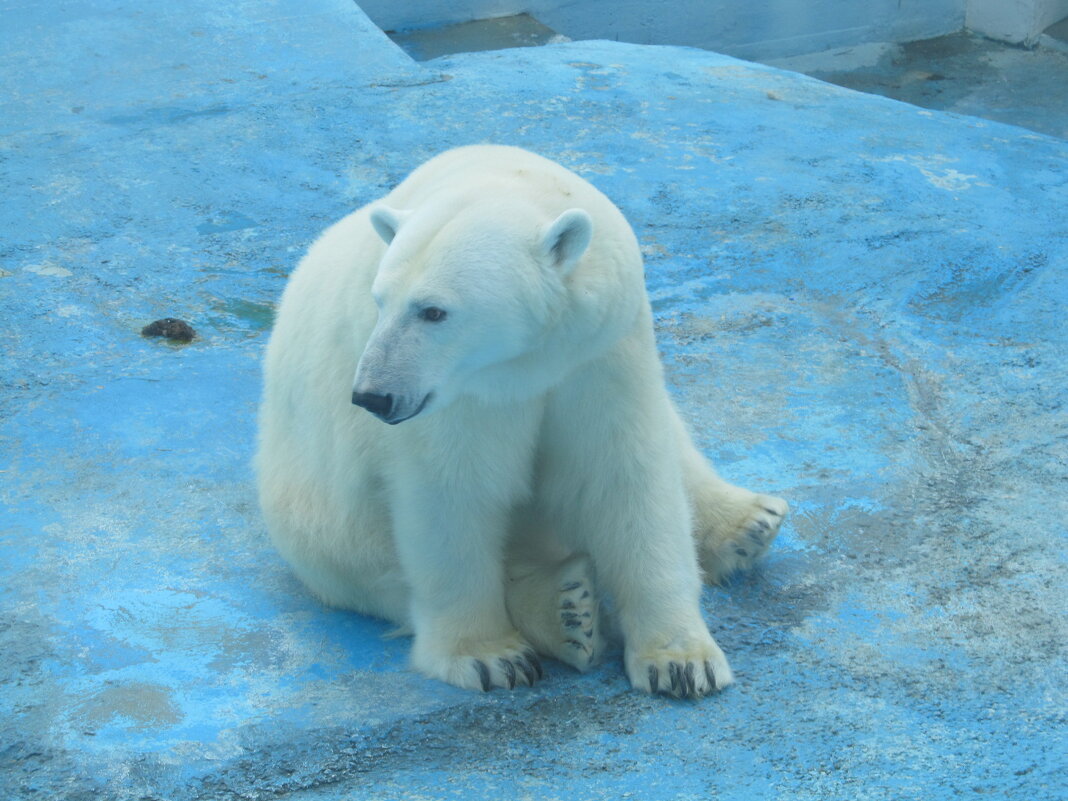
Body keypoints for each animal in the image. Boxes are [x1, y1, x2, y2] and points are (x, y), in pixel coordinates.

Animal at [256, 147, 786, 700]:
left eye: (433, 311)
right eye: (379, 300)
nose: (372, 396)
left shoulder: (598, 353)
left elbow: (623, 475)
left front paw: (681, 663)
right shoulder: (463, 398)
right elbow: (452, 496)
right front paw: (492, 656)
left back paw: (748, 521)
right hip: (317, 519)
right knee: (375, 570)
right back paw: (566, 610)